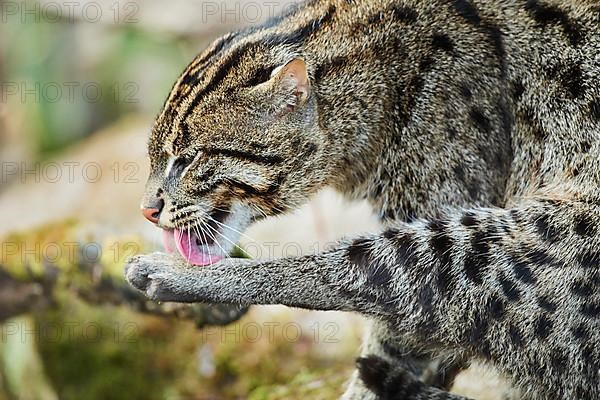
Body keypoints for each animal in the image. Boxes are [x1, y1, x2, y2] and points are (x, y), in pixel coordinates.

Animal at [124, 0, 596, 398]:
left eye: (187, 159)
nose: (146, 210)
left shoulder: (449, 197)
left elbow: (396, 339)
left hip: (504, 241)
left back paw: (174, 273)